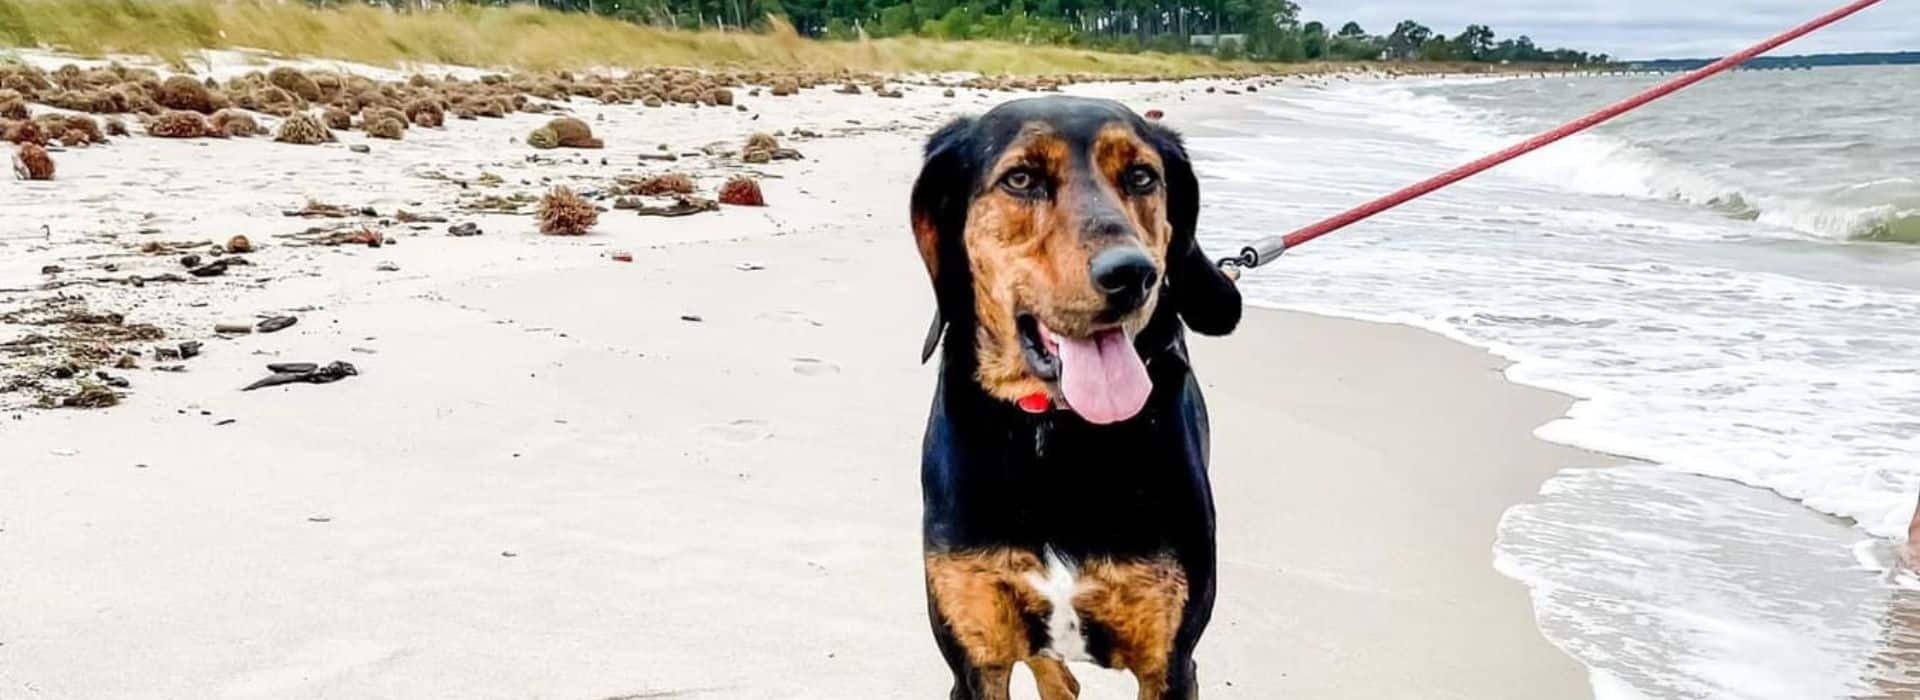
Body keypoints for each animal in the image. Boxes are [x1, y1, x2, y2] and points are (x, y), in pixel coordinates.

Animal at [913, 98, 1244, 698]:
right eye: (1021, 179)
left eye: (1142, 176)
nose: (1132, 274)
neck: (1054, 433)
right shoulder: (975, 657)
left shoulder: (1171, 663)